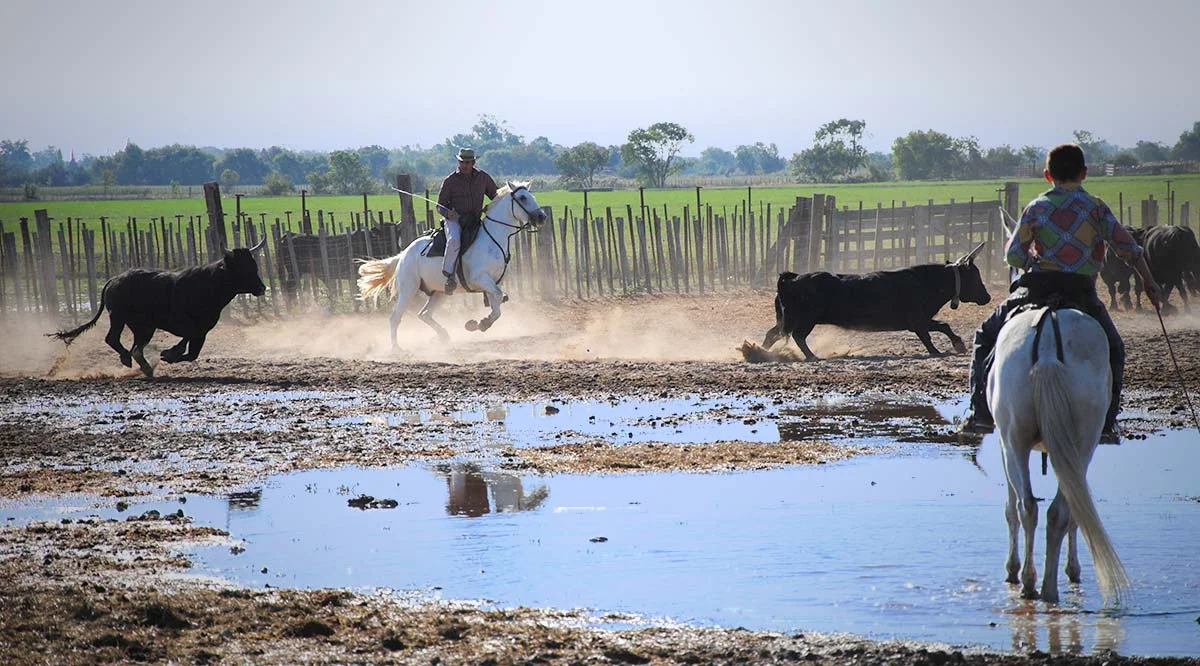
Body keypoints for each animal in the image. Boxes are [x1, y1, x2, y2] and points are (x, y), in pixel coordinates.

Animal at [356, 182, 546, 349]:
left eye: (532, 196)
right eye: (522, 197)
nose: (541, 217)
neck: (493, 239)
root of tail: (403, 254)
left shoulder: (492, 283)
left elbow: (497, 306)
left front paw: (481, 323)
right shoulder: (481, 279)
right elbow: (499, 298)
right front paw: (481, 322)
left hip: (440, 293)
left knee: (424, 314)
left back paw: (443, 336)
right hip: (408, 290)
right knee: (395, 318)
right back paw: (396, 348)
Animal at [988, 306, 1129, 605]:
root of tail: (1049, 346)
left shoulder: (1004, 445)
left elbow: (1010, 508)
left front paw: (1013, 569)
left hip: (1015, 443)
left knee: (1029, 507)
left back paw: (1032, 584)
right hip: (1080, 445)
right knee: (1059, 509)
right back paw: (1047, 587)